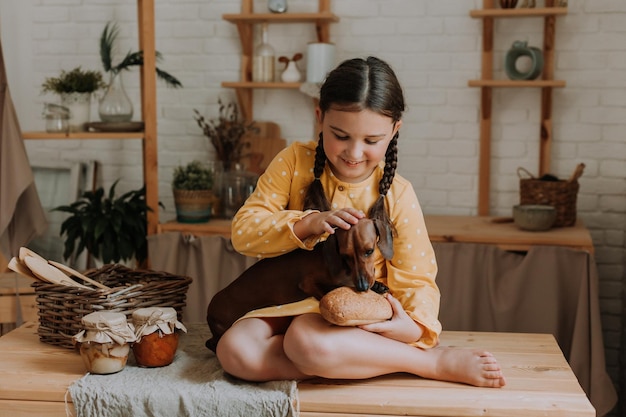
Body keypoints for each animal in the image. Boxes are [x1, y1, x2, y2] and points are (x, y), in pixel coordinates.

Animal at [205, 218, 390, 352]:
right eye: (346, 255)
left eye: (369, 250)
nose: (362, 287)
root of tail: (209, 313)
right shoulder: (307, 283)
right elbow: (326, 290)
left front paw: (378, 286)